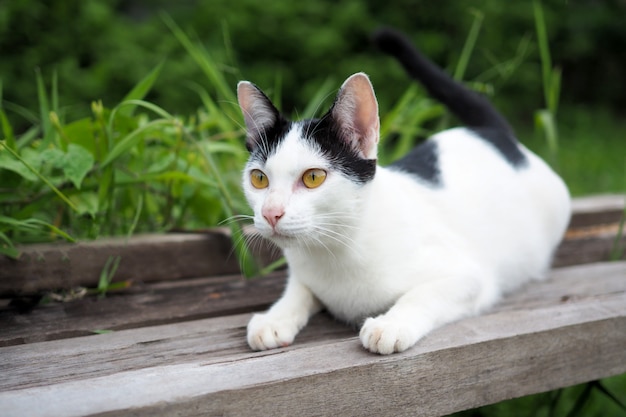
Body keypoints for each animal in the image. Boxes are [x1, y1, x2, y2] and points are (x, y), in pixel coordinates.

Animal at [235, 28, 572, 354]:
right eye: (259, 179)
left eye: (313, 177)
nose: (271, 213)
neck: (337, 250)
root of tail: (490, 132)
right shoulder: (302, 273)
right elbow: (298, 291)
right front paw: (274, 317)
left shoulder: (471, 276)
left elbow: (422, 294)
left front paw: (390, 325)